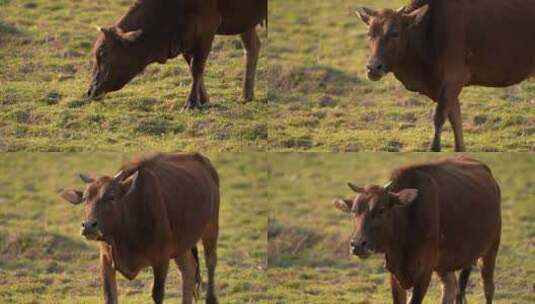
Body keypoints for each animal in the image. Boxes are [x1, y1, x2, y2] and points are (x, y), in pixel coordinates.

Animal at [60, 153, 222, 302]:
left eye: (111, 197)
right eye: (85, 199)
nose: (88, 226)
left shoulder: (161, 260)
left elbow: (157, 294)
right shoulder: (105, 259)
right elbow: (109, 296)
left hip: (211, 226)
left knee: (210, 261)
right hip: (181, 242)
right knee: (188, 269)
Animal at [87, 0, 268, 111]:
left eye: (102, 54)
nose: (90, 92)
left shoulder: (208, 27)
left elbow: (197, 67)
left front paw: (191, 103)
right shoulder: (185, 39)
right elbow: (192, 67)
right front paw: (203, 99)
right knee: (253, 46)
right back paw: (246, 96)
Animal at [336, 157, 502, 304]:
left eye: (381, 210)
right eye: (354, 211)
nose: (357, 245)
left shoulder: (424, 271)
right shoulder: (394, 271)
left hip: (490, 250)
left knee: (488, 288)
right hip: (445, 263)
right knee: (451, 288)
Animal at [356, 0, 535, 151]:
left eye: (394, 33)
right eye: (369, 33)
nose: (373, 67)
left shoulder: (455, 77)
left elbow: (439, 116)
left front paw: (434, 148)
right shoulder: (440, 85)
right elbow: (455, 117)